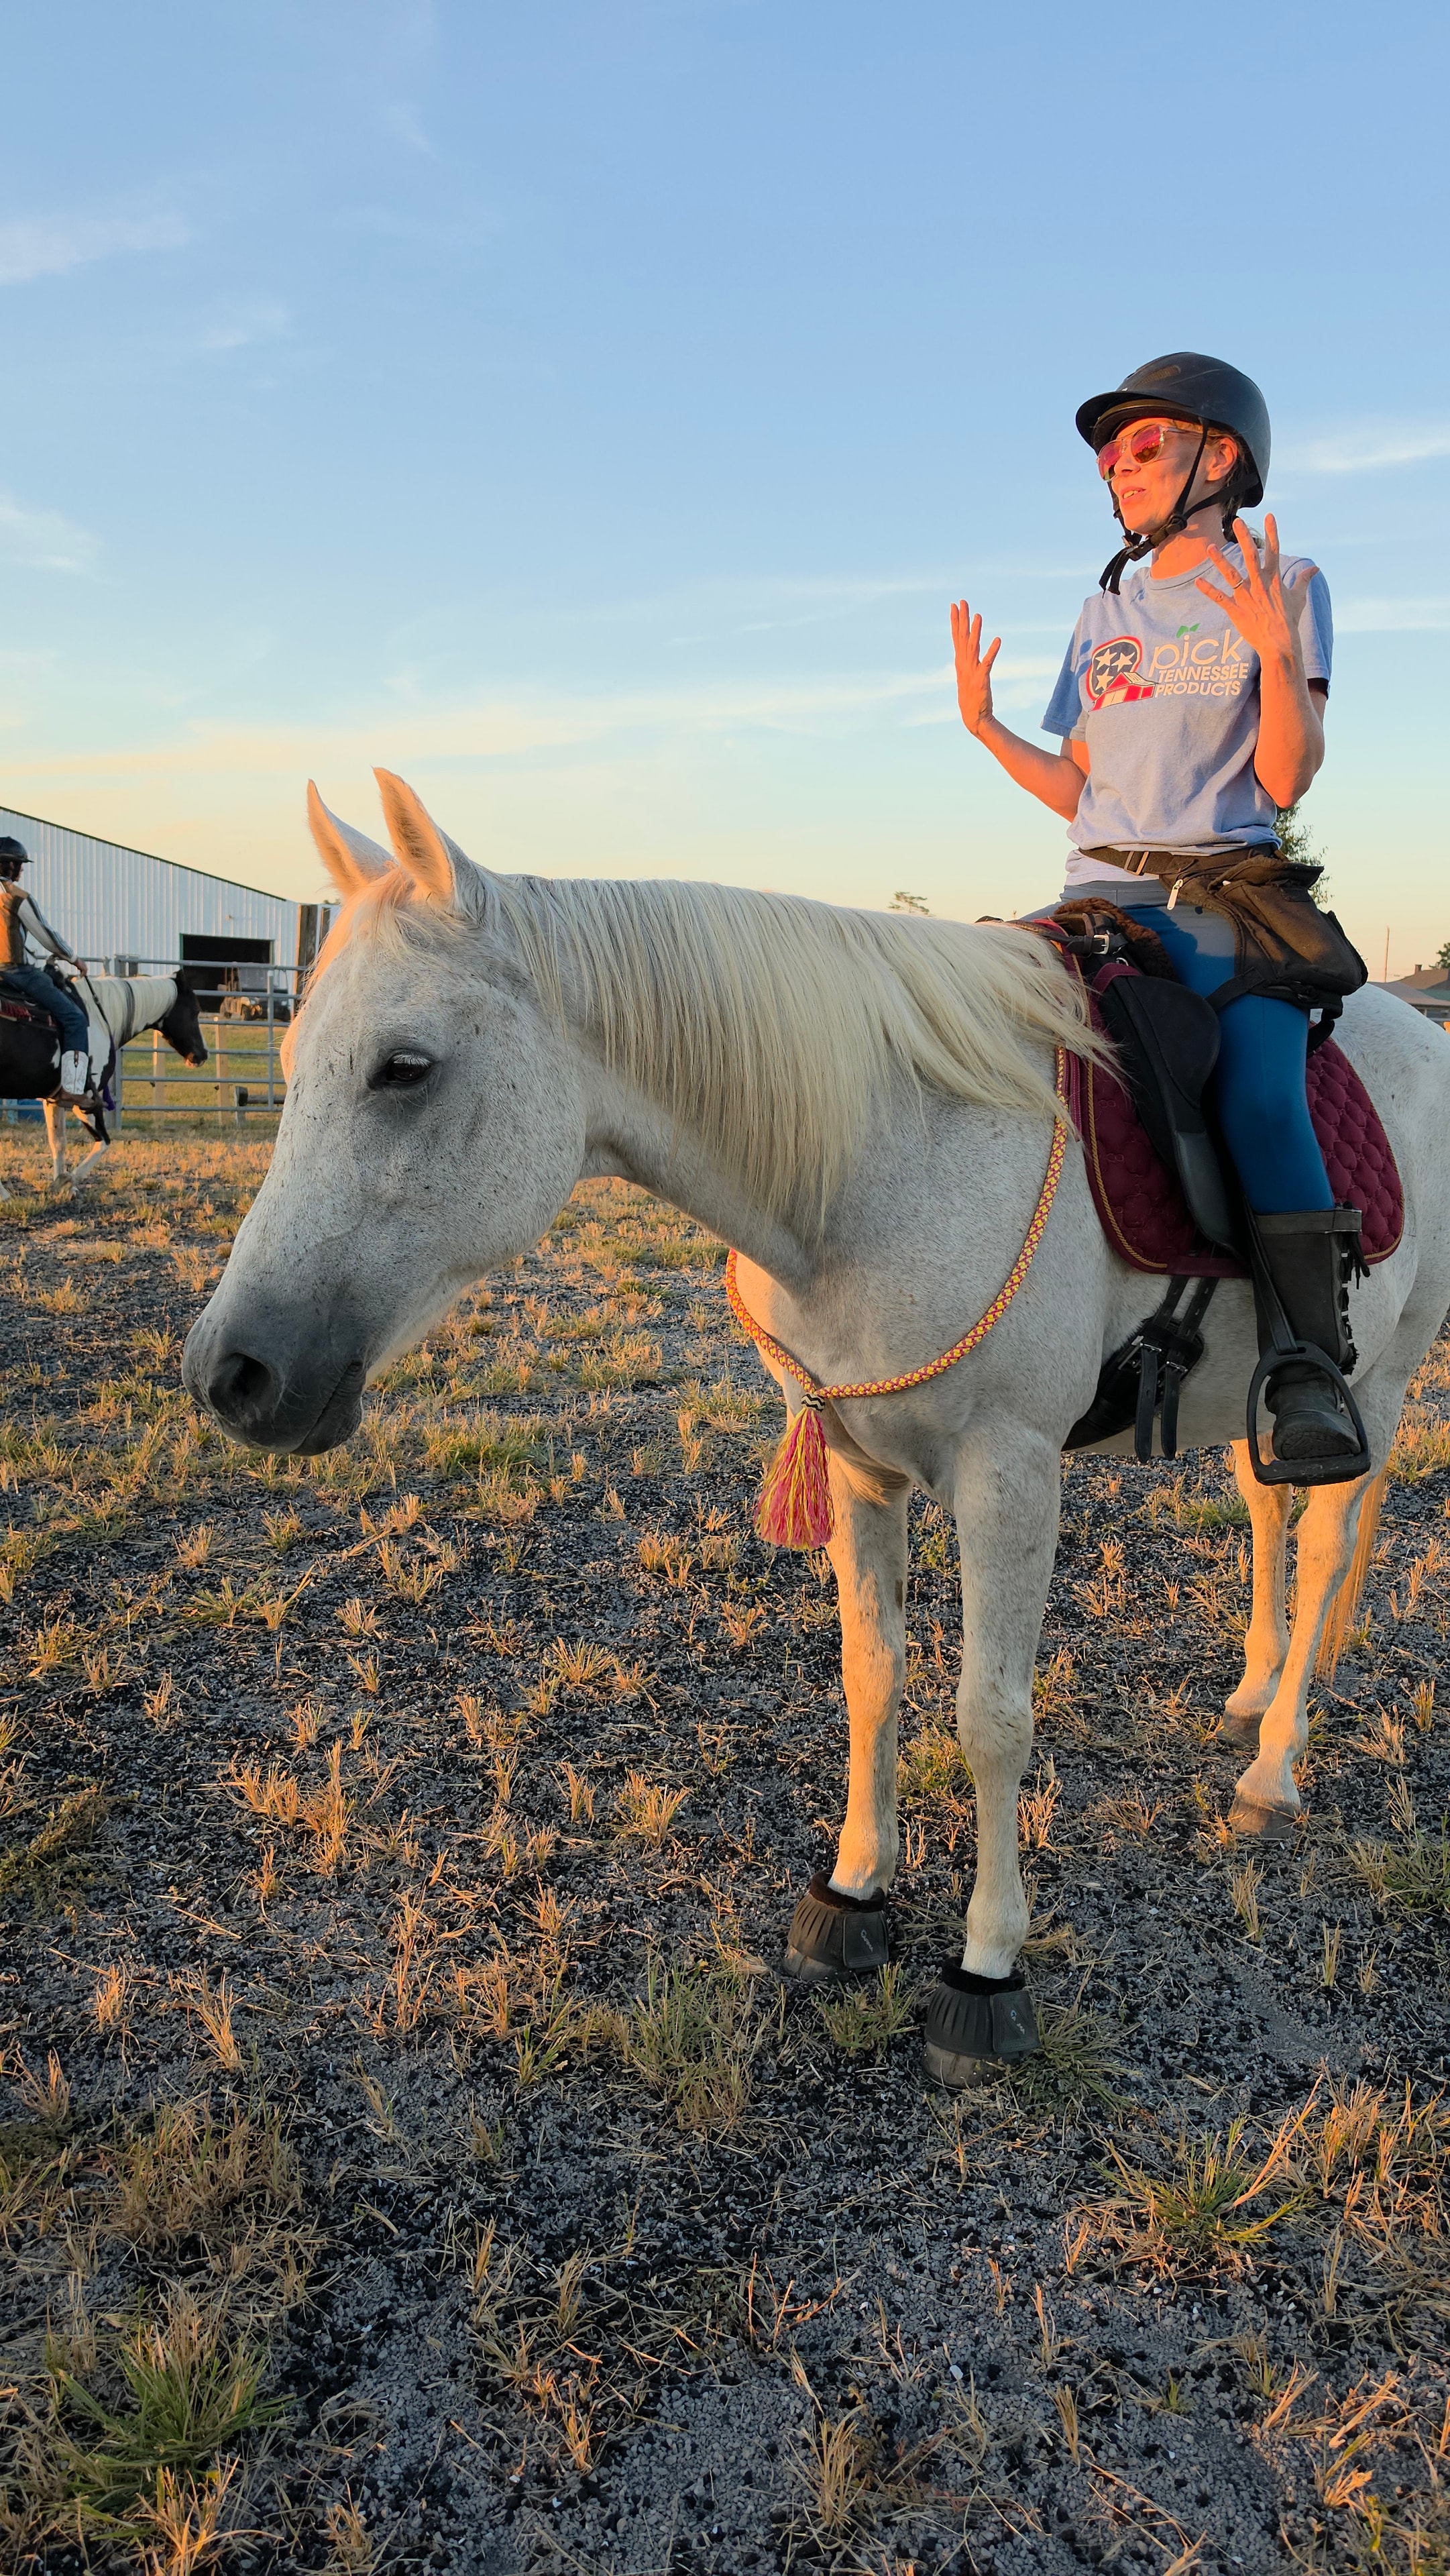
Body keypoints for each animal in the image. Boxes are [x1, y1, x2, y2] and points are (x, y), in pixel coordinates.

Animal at [0, 968, 208, 1197]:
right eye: (195, 1011)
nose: (202, 1055)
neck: (98, 1017)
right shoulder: (88, 1100)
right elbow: (104, 1142)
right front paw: (69, 1181)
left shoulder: (54, 1099)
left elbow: (58, 1141)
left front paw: (61, 1185)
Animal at [181, 771, 1450, 2088]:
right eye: (292, 1057)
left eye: (404, 1067)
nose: (233, 1372)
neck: (887, 1161)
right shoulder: (857, 1463)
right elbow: (872, 1675)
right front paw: (853, 1895)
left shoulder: (1008, 1473)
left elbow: (990, 1719)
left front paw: (984, 1971)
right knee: (1267, 1515)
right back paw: (1254, 1692)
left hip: (1379, 1380)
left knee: (1331, 1541)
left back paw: (1274, 1763)